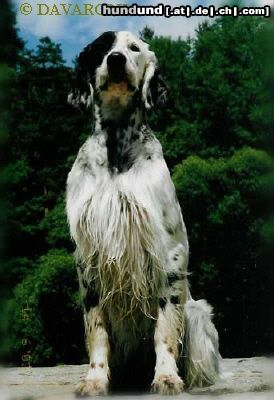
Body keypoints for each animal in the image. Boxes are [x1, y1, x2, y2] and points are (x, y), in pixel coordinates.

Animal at [66, 29, 220, 396]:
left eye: (133, 48)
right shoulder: (88, 259)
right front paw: (95, 379)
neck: (116, 148)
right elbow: (96, 330)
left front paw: (166, 377)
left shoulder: (169, 253)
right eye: (102, 48)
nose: (116, 60)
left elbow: (164, 329)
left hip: (197, 313)